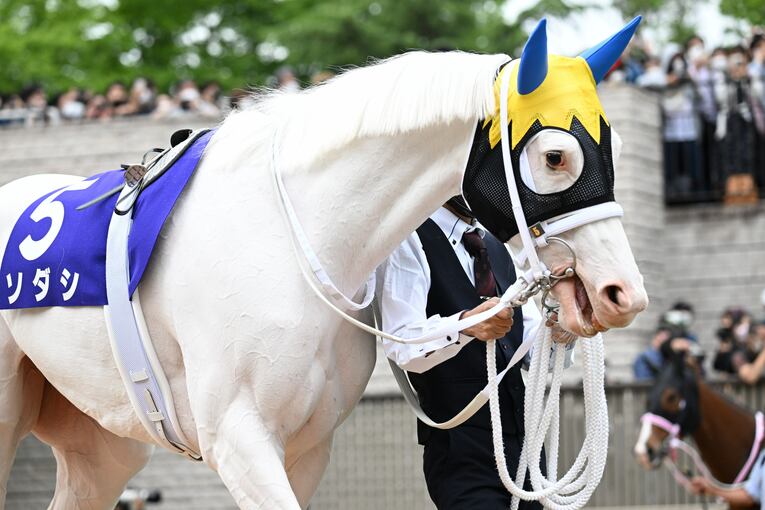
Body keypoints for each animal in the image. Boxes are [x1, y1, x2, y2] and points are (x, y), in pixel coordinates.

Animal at [0, 22, 648, 510]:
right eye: (556, 155)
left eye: (614, 147)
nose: (623, 293)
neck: (285, 242)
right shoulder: (237, 436)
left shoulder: (308, 447)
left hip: (104, 441)